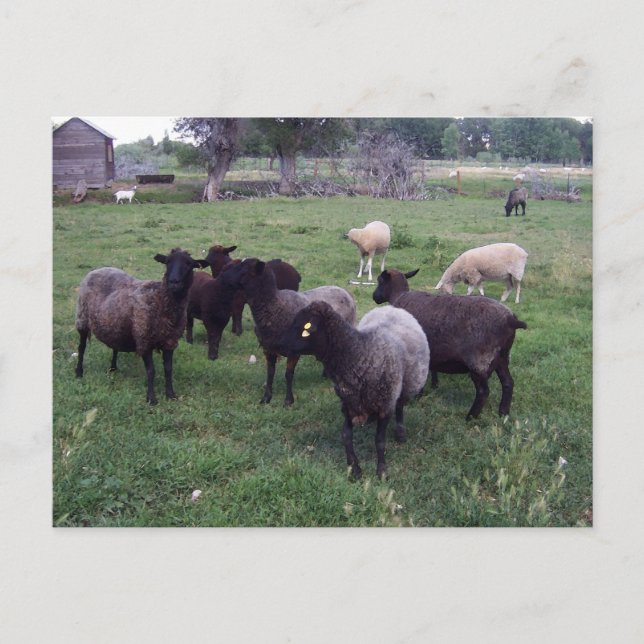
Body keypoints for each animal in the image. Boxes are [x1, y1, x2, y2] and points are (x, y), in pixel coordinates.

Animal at [75, 248, 208, 404]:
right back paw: (79, 372)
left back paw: (113, 368)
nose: (173, 282)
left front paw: (170, 394)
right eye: (167, 262)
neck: (160, 300)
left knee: (114, 346)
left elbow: (168, 369)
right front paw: (151, 398)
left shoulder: (170, 341)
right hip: (82, 318)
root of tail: (97, 269)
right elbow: (151, 371)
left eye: (189, 264)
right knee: (81, 348)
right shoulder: (144, 339)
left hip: (115, 323)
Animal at [220, 257, 356, 407]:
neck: (274, 307)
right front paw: (266, 398)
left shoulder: (293, 351)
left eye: (244, 268)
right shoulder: (268, 348)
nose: (222, 276)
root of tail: (344, 291)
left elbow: (288, 375)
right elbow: (270, 372)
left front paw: (288, 401)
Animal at [280, 301, 429, 479]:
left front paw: (381, 471)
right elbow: (346, 436)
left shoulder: (385, 406)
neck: (359, 354)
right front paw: (355, 469)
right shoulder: (348, 404)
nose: (281, 345)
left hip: (403, 387)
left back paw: (400, 433)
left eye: (304, 326)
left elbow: (379, 441)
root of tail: (392, 308)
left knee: (399, 407)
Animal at [373, 268, 527, 419]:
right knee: (508, 383)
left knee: (483, 391)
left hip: (480, 361)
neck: (399, 297)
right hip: (502, 356)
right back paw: (503, 413)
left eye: (380, 281)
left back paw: (470, 417)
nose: (374, 297)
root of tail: (510, 320)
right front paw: (432, 385)